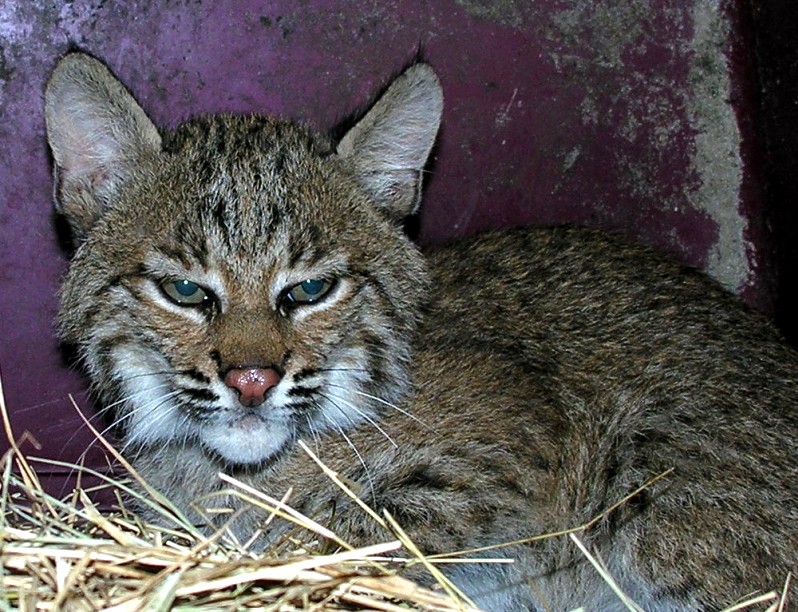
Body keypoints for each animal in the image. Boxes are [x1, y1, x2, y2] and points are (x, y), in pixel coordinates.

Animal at [45, 52, 797, 611]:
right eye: (184, 292)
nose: (252, 382)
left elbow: (346, 535)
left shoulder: (522, 437)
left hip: (653, 460)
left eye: (311, 291)